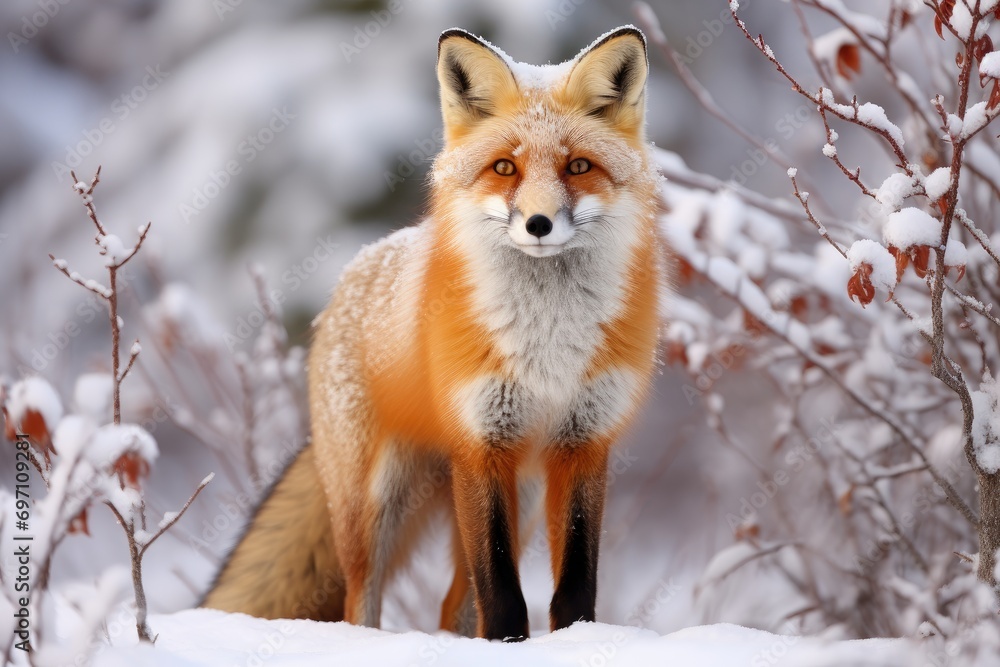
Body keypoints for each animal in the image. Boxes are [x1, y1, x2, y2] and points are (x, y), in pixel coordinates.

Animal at [202, 25, 667, 641]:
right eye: (504, 168)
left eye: (578, 167)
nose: (538, 224)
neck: (547, 341)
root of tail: (356, 271)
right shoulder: (481, 442)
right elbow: (501, 593)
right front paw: (509, 644)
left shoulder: (584, 441)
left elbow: (574, 585)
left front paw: (579, 641)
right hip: (374, 504)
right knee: (361, 601)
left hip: (515, 489)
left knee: (452, 607)